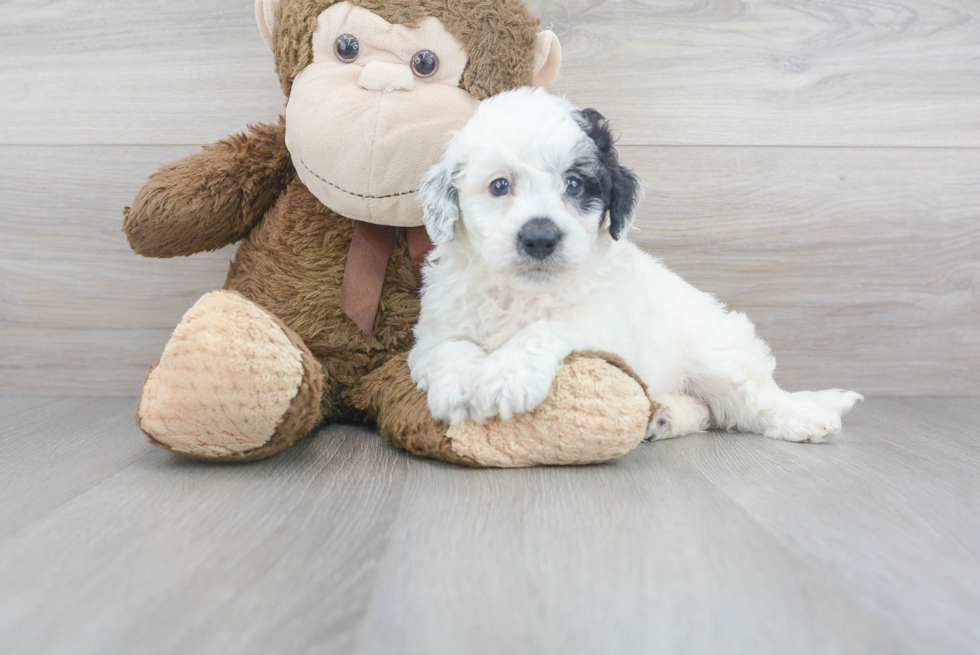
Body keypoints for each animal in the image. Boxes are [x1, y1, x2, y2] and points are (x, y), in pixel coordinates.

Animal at [410, 87, 860, 444]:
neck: (525, 291)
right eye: (499, 186)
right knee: (705, 411)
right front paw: (458, 388)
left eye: (575, 184)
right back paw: (663, 416)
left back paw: (803, 417)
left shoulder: (605, 323)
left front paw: (507, 375)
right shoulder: (434, 328)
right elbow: (450, 346)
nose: (539, 237)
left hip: (717, 356)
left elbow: (548, 327)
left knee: (753, 401)